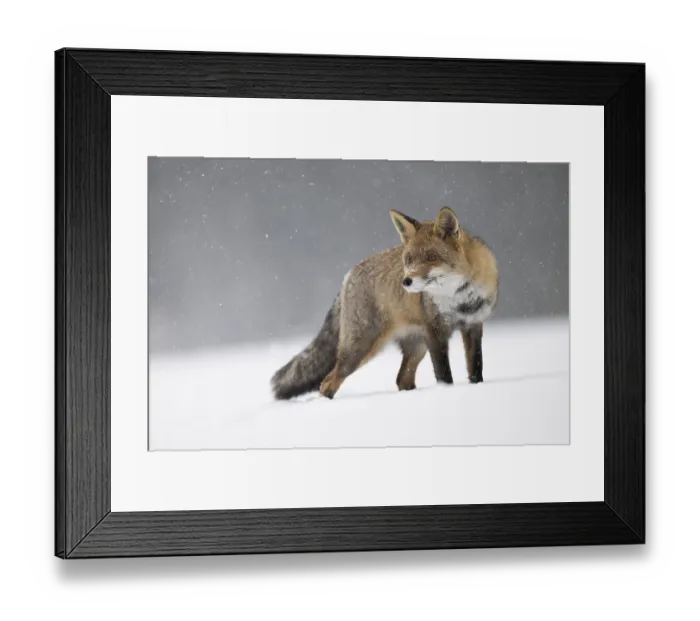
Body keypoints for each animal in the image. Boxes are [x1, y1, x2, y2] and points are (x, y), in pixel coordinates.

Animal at [271, 206, 499, 400]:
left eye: (431, 257)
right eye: (409, 259)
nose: (406, 281)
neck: (460, 300)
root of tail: (348, 275)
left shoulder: (473, 325)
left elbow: (476, 368)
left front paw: (476, 388)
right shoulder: (436, 332)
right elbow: (444, 374)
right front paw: (446, 393)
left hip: (416, 347)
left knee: (401, 379)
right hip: (361, 349)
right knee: (327, 382)